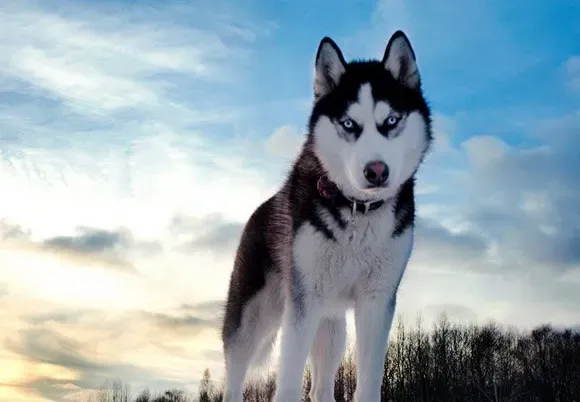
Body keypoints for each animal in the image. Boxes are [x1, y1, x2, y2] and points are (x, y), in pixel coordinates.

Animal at [221, 30, 430, 402]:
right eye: (349, 124)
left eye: (391, 121)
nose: (376, 171)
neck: (358, 210)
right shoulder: (304, 301)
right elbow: (288, 381)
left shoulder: (377, 300)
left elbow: (369, 379)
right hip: (252, 317)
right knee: (235, 376)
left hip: (332, 327)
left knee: (320, 386)